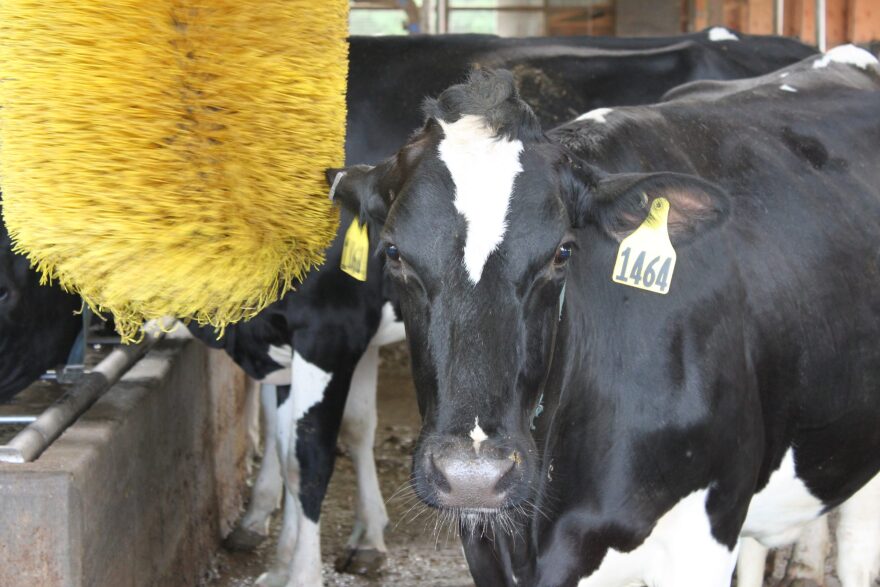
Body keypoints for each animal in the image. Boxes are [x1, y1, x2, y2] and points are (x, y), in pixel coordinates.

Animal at [194, 28, 820, 587]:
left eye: (564, 251)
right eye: (391, 251)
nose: (473, 475)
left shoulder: (331, 325)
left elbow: (311, 453)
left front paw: (302, 567)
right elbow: (317, 432)